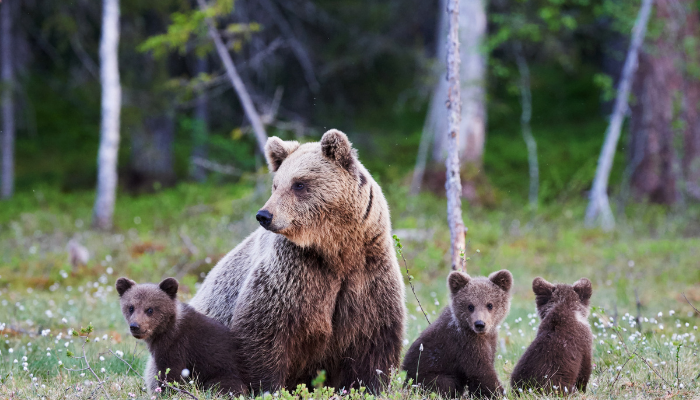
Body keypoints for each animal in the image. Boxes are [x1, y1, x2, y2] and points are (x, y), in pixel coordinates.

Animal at [189, 130, 408, 392]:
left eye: (299, 183)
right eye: (276, 185)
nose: (264, 215)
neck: (337, 251)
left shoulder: (367, 276)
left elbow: (373, 344)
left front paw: (370, 385)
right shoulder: (294, 274)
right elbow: (264, 333)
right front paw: (267, 387)